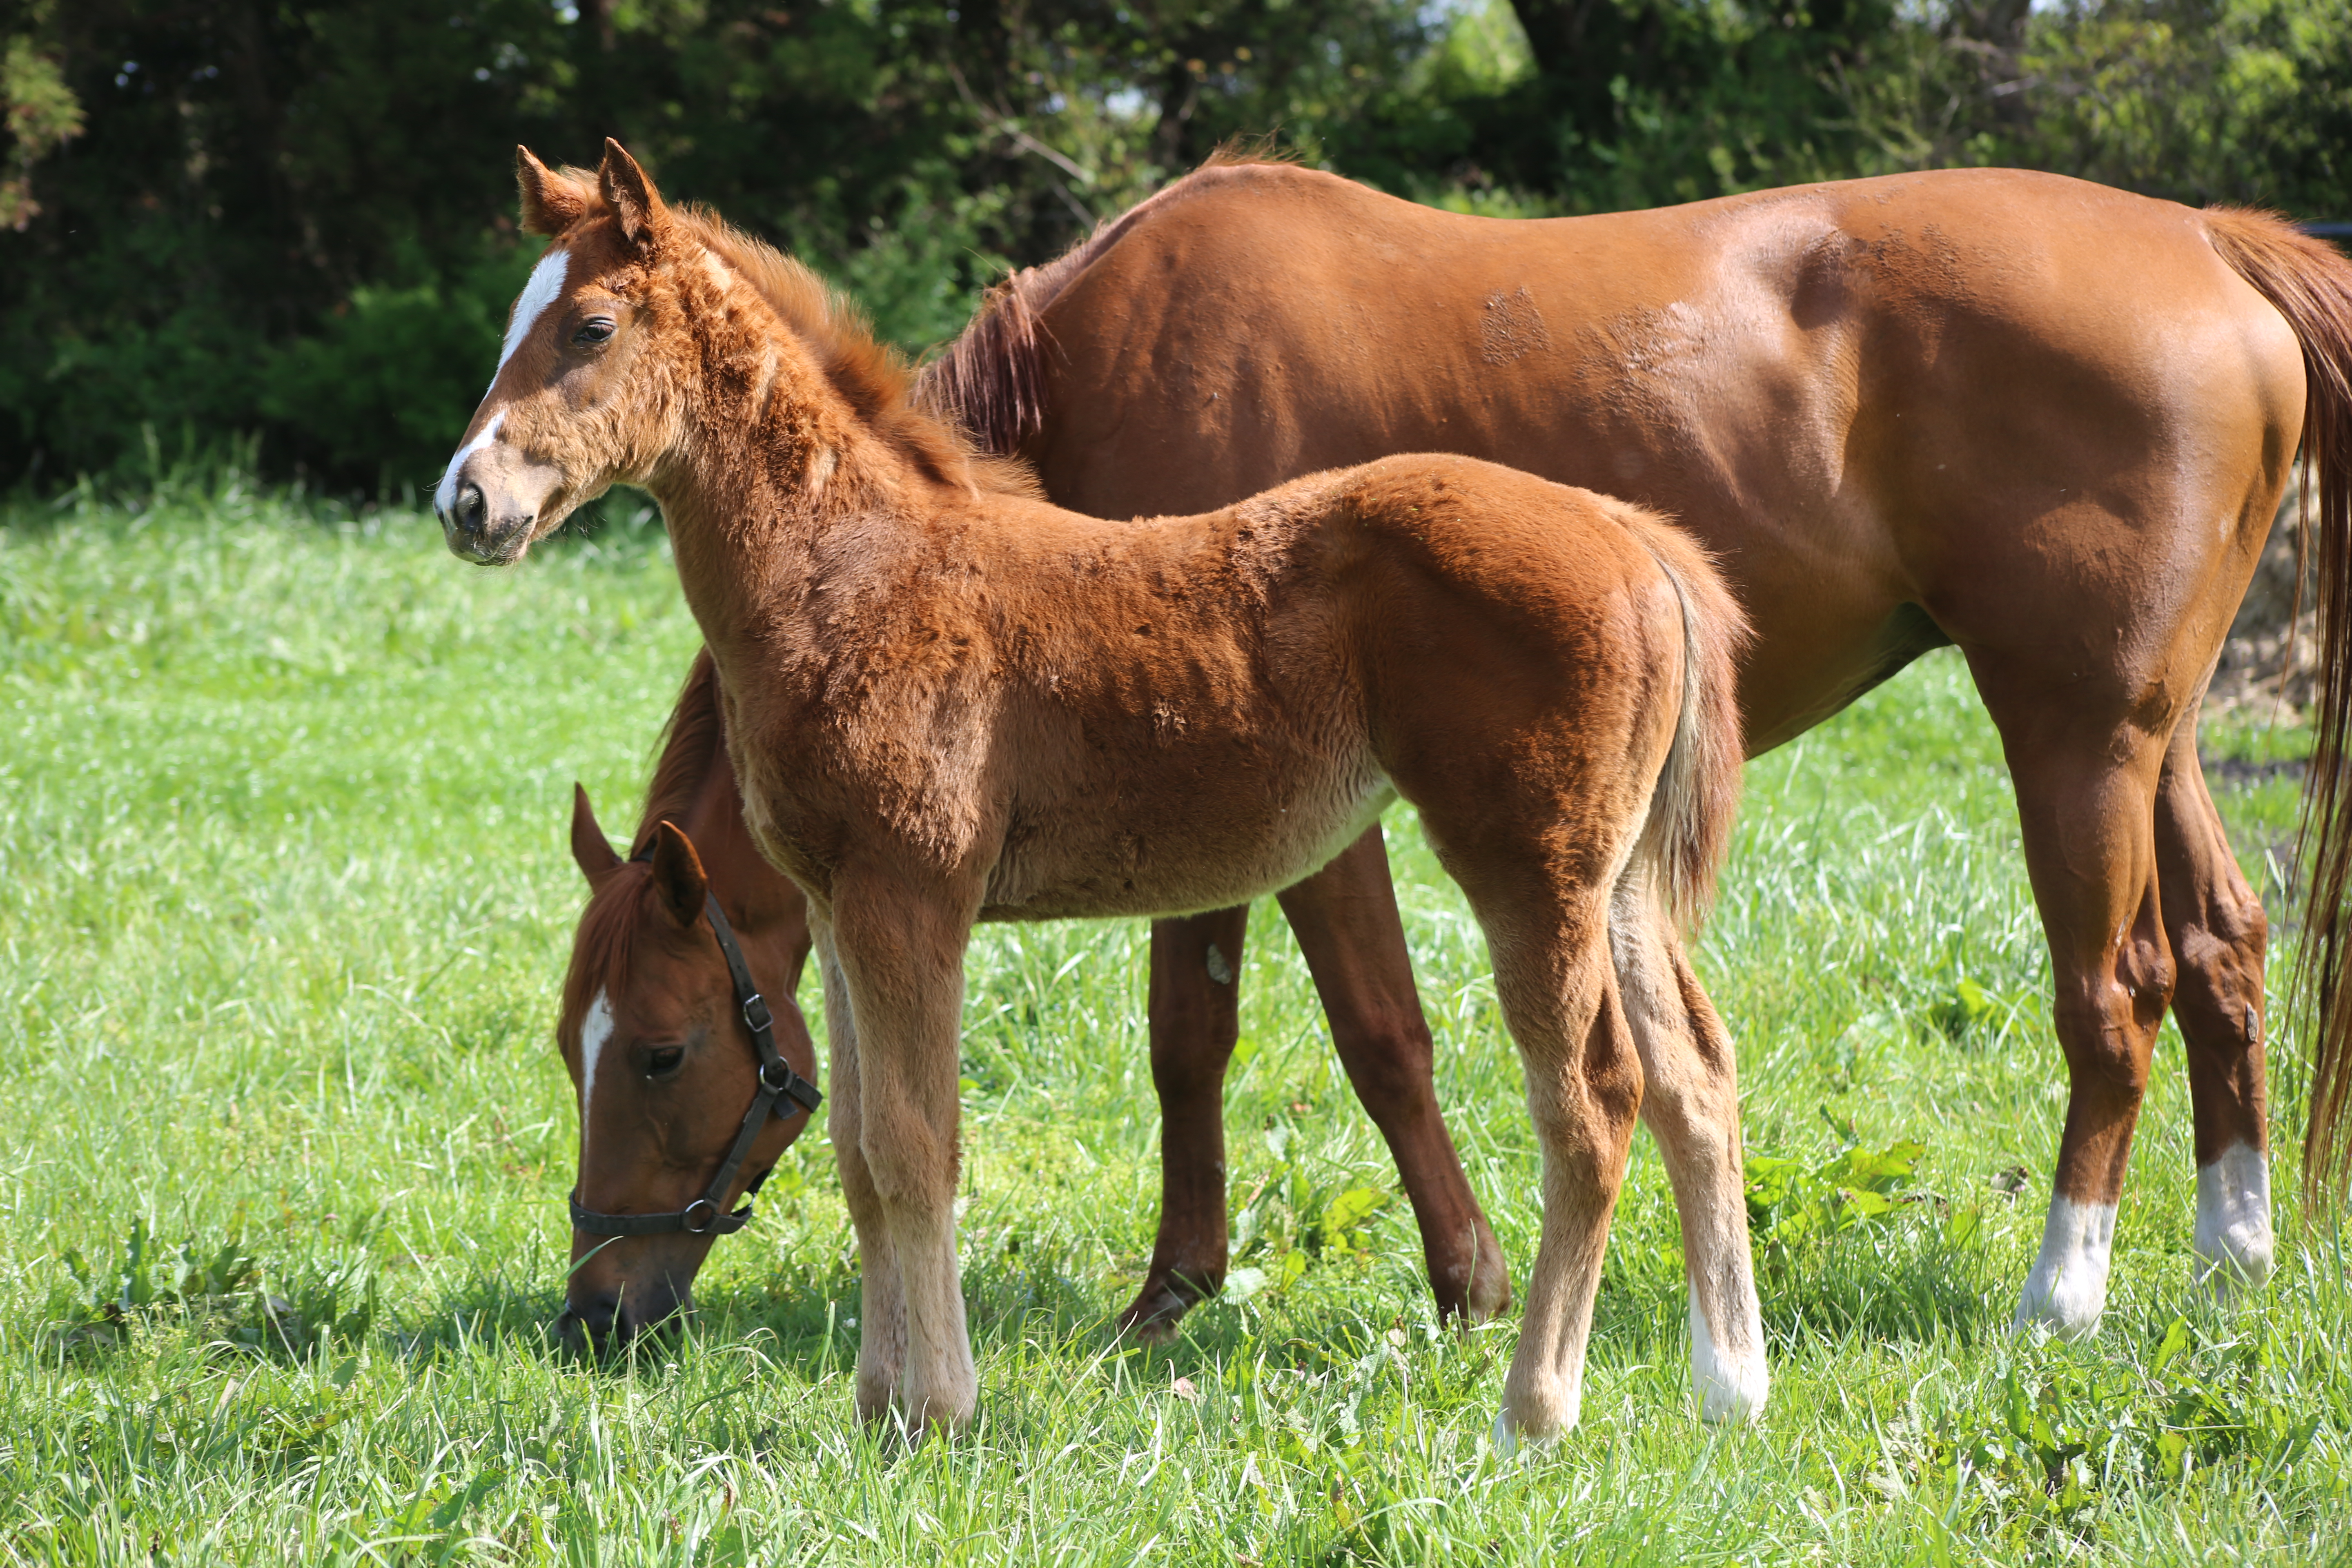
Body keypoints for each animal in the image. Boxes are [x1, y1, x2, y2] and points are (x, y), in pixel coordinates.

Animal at [442, 147, 1768, 1448]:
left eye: (590, 325)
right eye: (572, 1042)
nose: (468, 501)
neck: (853, 569)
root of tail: (1631, 534)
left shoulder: (911, 898)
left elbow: (916, 1146)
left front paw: (937, 1411)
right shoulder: (836, 905)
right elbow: (860, 1151)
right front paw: (875, 1405)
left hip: (1528, 868)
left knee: (1593, 1101)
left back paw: (1534, 1413)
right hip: (1618, 880)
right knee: (1694, 1071)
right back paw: (1729, 1387)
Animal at [912, 153, 2352, 1335]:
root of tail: (2209, 240)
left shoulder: (1316, 819)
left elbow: (1382, 1035)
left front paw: (1468, 1284)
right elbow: (1188, 1039)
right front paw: (1173, 1292)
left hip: (2073, 740)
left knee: (2116, 993)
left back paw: (2063, 1293)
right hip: (2153, 741)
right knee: (2223, 946)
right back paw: (2231, 1256)